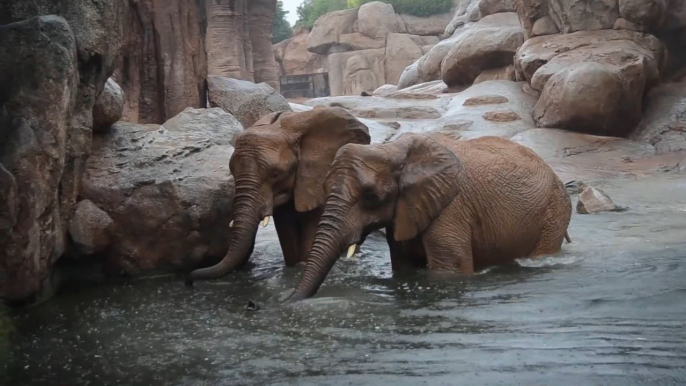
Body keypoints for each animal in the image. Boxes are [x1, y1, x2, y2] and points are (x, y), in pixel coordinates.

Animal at [288, 133, 572, 302]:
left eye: (370, 196)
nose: (288, 300)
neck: (391, 150)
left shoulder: (450, 207)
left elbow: (451, 270)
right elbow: (403, 266)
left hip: (554, 213)